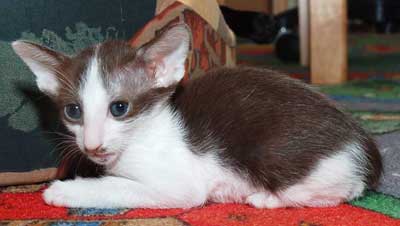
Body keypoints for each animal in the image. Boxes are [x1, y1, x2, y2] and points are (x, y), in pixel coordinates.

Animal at [11, 24, 382, 208]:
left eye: (119, 108)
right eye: (73, 111)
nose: (92, 145)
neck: (146, 133)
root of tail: (365, 146)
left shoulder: (179, 184)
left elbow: (121, 187)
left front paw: (65, 191)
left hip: (272, 152)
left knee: (342, 190)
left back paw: (261, 197)